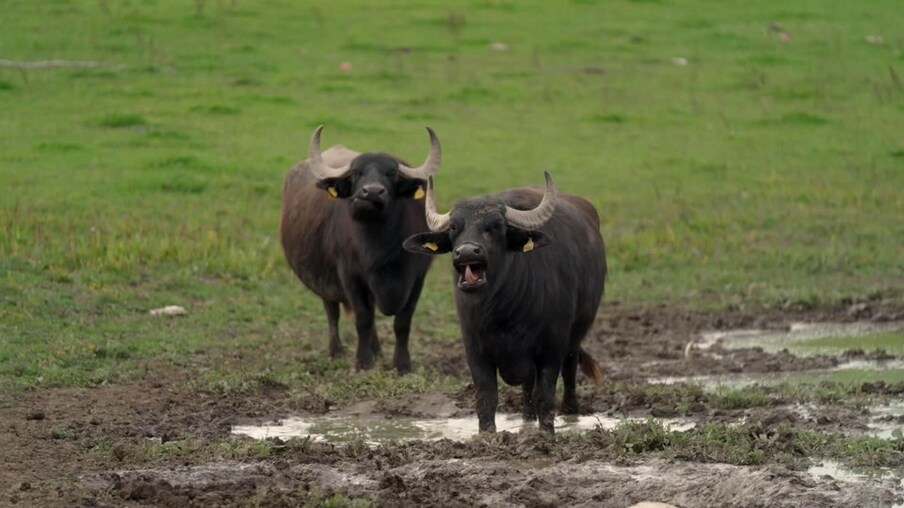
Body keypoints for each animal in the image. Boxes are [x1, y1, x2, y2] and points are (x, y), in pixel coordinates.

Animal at [278, 127, 442, 374]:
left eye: (392, 173)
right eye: (357, 172)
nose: (371, 192)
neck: (378, 249)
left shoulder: (417, 278)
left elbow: (403, 321)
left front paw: (402, 364)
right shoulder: (350, 276)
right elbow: (363, 317)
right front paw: (363, 362)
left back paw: (377, 350)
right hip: (325, 278)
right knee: (332, 311)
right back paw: (336, 350)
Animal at [404, 172, 608, 432]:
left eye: (495, 227)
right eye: (454, 227)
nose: (467, 251)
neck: (502, 313)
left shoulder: (552, 346)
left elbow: (545, 395)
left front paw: (546, 433)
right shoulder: (475, 348)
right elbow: (486, 398)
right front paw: (488, 434)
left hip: (576, 333)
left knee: (569, 370)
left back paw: (571, 412)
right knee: (527, 387)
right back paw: (527, 418)